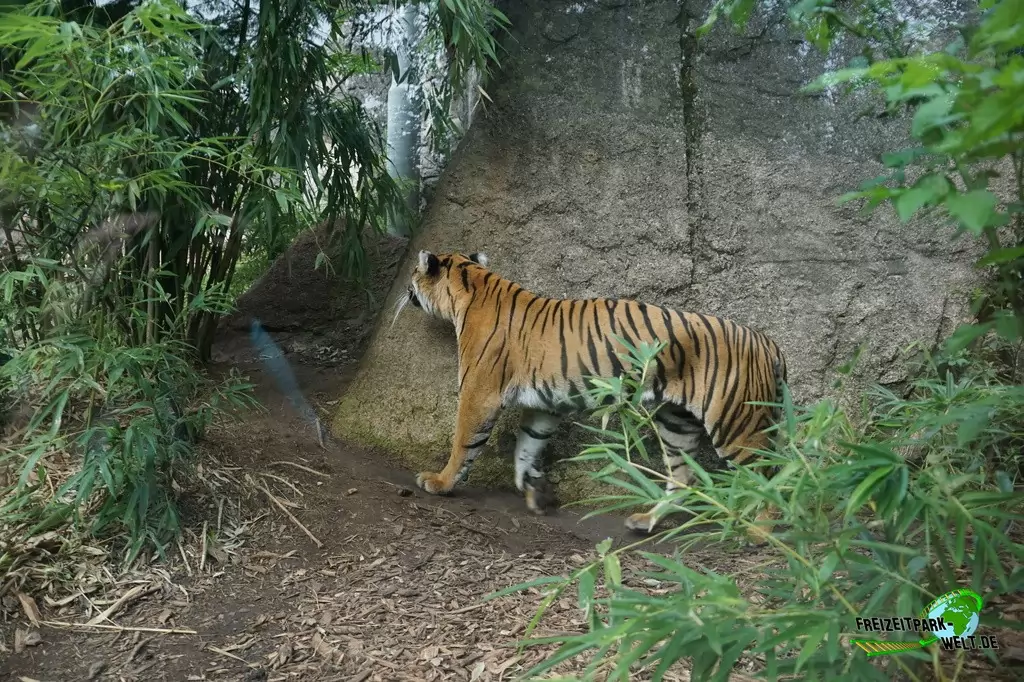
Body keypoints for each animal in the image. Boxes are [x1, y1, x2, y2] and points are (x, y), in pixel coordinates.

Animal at [393, 250, 789, 535]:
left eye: (413, 273)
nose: (406, 285)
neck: (471, 286)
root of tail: (768, 342)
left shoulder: (479, 393)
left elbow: (463, 442)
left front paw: (439, 482)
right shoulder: (544, 407)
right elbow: (527, 447)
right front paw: (535, 491)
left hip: (735, 421)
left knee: (770, 474)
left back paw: (759, 532)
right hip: (677, 422)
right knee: (684, 477)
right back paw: (646, 521)